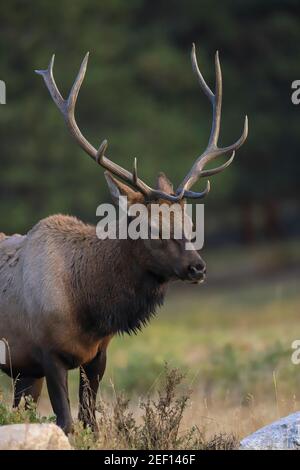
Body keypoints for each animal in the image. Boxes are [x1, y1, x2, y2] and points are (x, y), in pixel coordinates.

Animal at [0, 45, 247, 434]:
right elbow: (66, 423)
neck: (87, 306)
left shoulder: (96, 355)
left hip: (24, 372)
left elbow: (90, 422)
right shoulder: (47, 353)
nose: (198, 267)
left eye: (190, 225)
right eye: (151, 229)